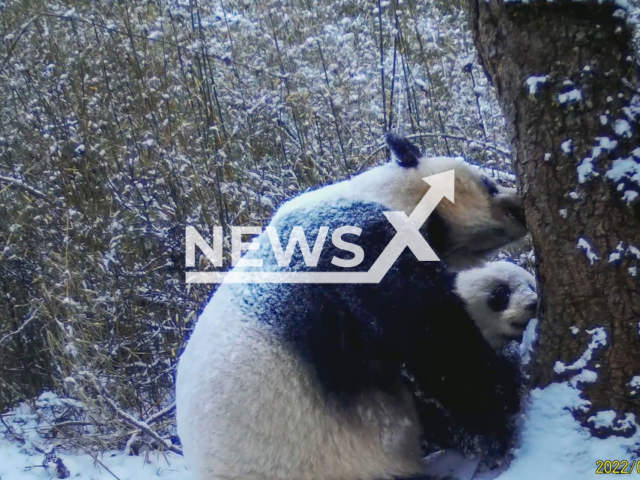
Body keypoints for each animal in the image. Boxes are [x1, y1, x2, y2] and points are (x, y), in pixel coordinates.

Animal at [176, 134, 528, 480]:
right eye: (488, 183)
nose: (521, 207)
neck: (383, 196)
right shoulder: (359, 253)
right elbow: (440, 349)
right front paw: (508, 391)